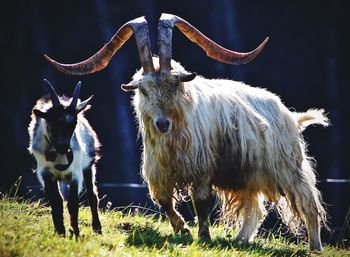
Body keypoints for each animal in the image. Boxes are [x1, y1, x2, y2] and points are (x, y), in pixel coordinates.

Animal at [28, 79, 102, 236]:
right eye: (53, 121)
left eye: (74, 123)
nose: (64, 146)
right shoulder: (45, 173)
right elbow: (56, 201)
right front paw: (60, 231)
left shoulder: (75, 174)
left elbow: (73, 203)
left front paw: (75, 232)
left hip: (89, 166)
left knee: (92, 195)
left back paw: (97, 227)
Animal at [43, 14, 328, 250]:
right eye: (144, 90)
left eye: (173, 85)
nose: (162, 124)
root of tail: (290, 115)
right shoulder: (159, 171)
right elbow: (164, 201)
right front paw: (182, 228)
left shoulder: (201, 168)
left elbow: (199, 202)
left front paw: (203, 236)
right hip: (247, 172)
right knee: (254, 209)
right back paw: (239, 240)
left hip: (288, 166)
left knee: (308, 204)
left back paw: (314, 247)